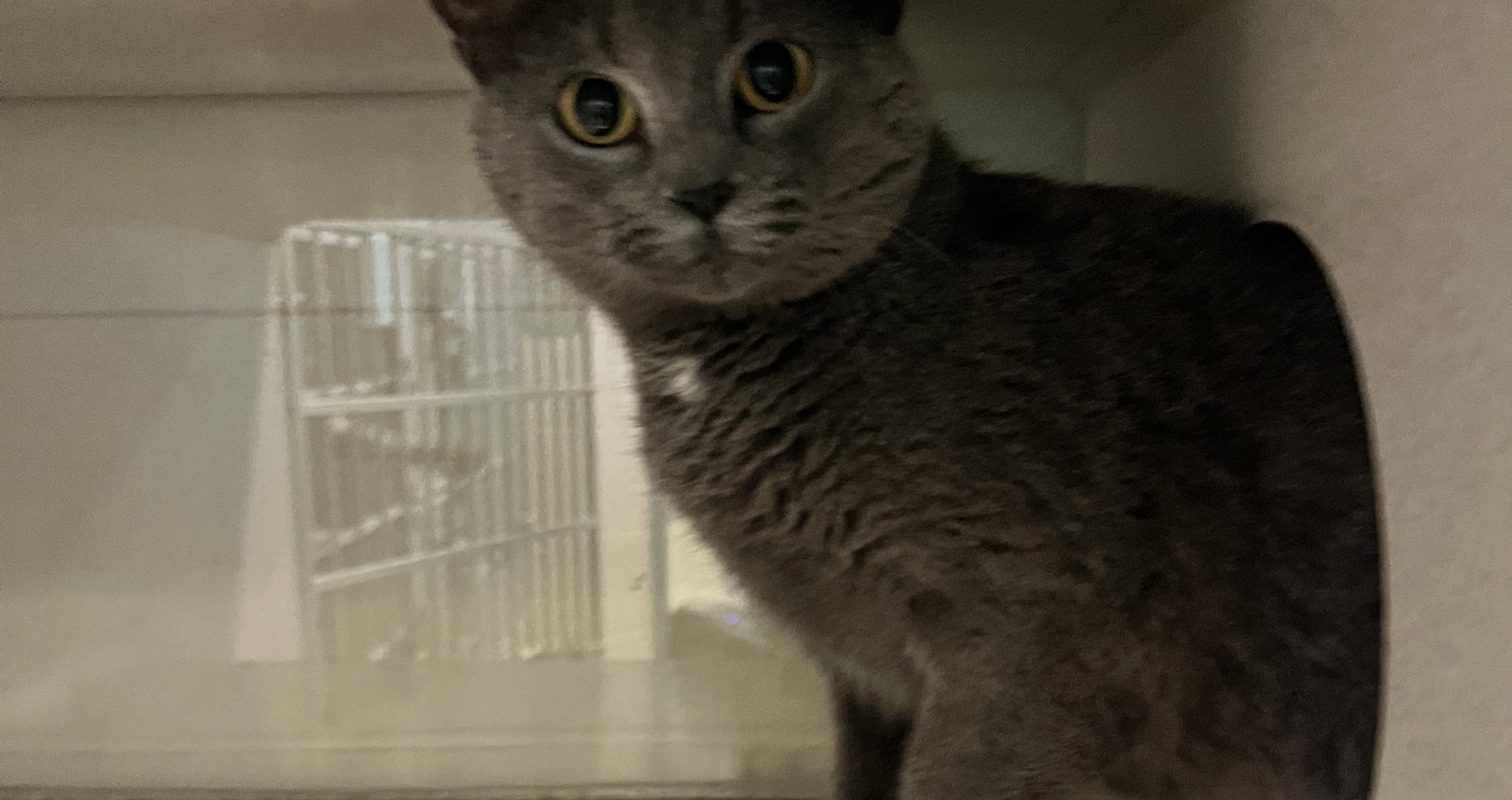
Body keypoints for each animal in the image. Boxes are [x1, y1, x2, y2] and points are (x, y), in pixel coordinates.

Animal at [430, 1, 1382, 798]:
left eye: (772, 72)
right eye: (595, 110)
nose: (701, 190)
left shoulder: (1024, 634)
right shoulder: (862, 677)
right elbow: (862, 773)